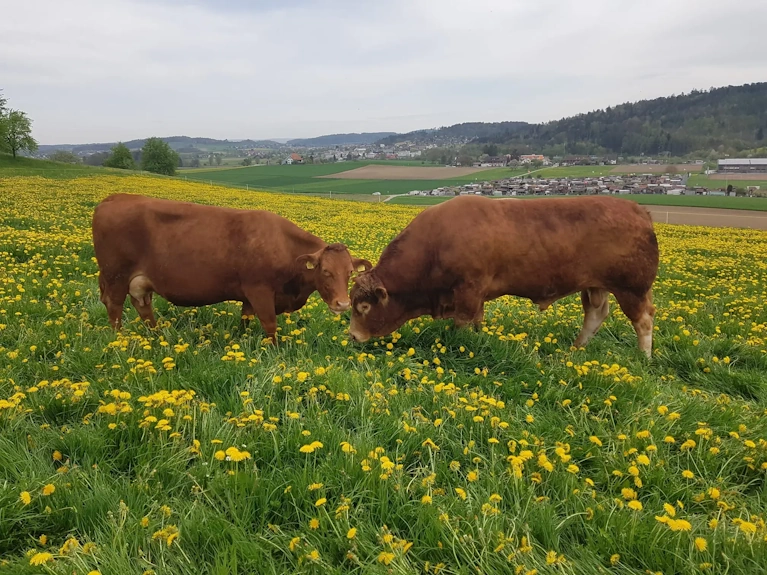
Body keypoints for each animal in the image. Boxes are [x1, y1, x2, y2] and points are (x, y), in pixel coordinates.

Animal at [92, 193, 371, 342]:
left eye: (349, 273)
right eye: (325, 271)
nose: (342, 304)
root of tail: (116, 198)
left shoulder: (248, 296)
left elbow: (245, 320)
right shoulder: (260, 290)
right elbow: (269, 324)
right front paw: (274, 350)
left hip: (139, 282)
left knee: (143, 306)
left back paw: (157, 336)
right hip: (116, 276)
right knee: (114, 307)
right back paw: (119, 339)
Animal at [349, 194, 659, 357]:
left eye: (363, 306)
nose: (352, 335)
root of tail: (637, 209)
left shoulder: (468, 290)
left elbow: (462, 323)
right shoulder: (476, 296)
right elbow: (477, 321)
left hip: (632, 289)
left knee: (643, 320)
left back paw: (643, 357)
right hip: (596, 286)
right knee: (595, 314)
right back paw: (576, 349)